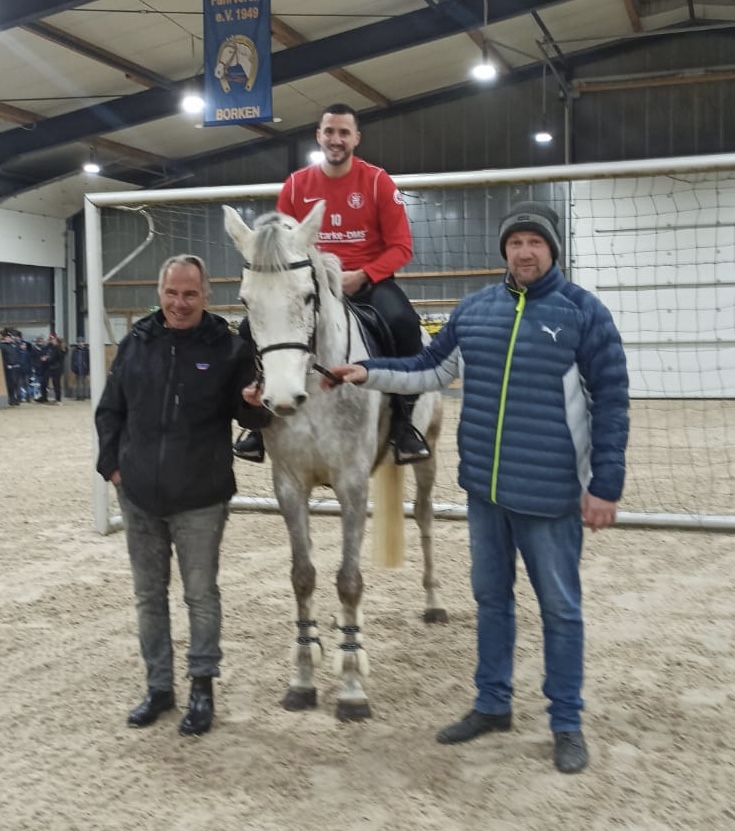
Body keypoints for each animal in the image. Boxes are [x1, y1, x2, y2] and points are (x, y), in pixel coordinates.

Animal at [221, 200, 446, 720]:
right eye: (245, 302)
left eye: (307, 297)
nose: (282, 398)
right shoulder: (289, 485)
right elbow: (303, 577)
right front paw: (303, 677)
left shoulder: (351, 483)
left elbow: (348, 581)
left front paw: (351, 686)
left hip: (428, 452)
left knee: (425, 516)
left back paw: (432, 603)